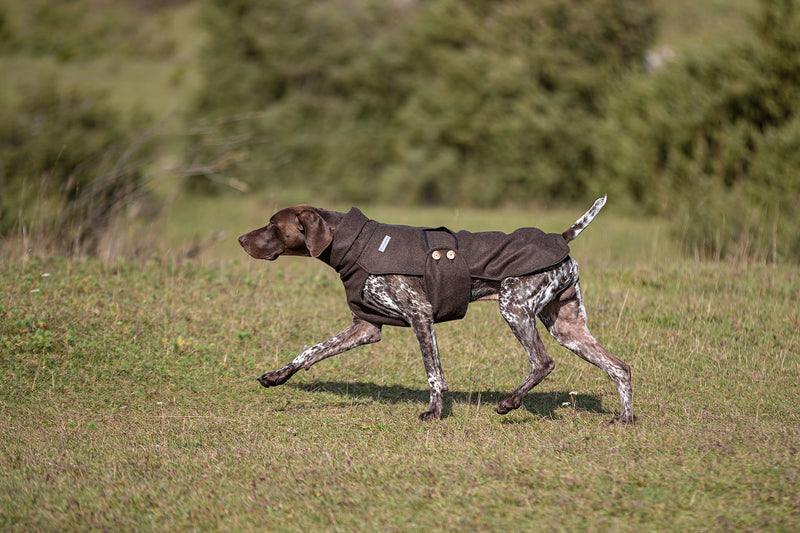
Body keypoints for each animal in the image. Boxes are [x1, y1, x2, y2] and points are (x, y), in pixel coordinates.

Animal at [238, 197, 632, 422]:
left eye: (273, 224)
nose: (241, 239)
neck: (353, 245)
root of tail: (561, 239)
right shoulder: (365, 327)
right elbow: (311, 351)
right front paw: (277, 376)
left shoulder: (420, 316)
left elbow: (434, 374)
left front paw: (434, 413)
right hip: (567, 328)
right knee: (620, 368)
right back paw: (624, 419)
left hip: (514, 308)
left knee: (543, 362)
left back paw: (510, 403)